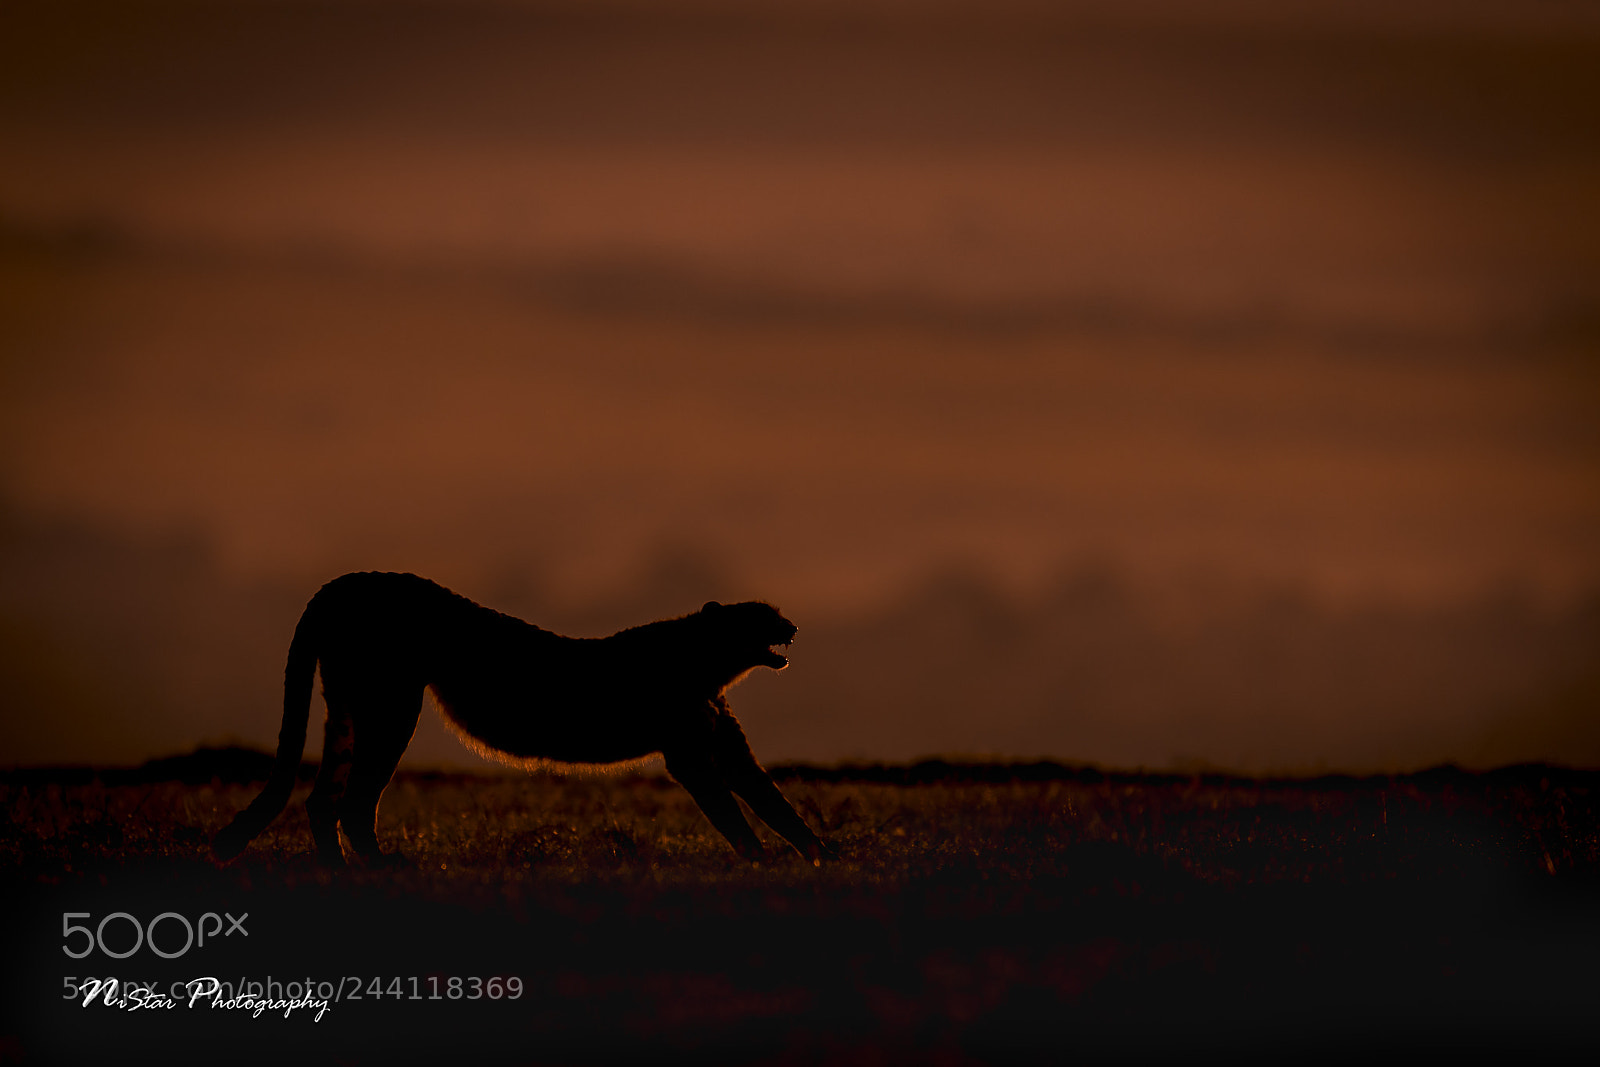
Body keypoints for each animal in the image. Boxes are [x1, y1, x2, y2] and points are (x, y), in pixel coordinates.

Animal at [212, 571, 833, 866]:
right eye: (760, 616)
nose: (793, 627)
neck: (711, 661)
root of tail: (345, 581)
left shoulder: (725, 747)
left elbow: (772, 800)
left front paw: (820, 858)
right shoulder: (688, 754)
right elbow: (730, 812)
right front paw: (760, 860)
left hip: (346, 710)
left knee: (323, 800)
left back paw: (337, 871)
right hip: (392, 704)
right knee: (354, 802)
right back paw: (384, 866)